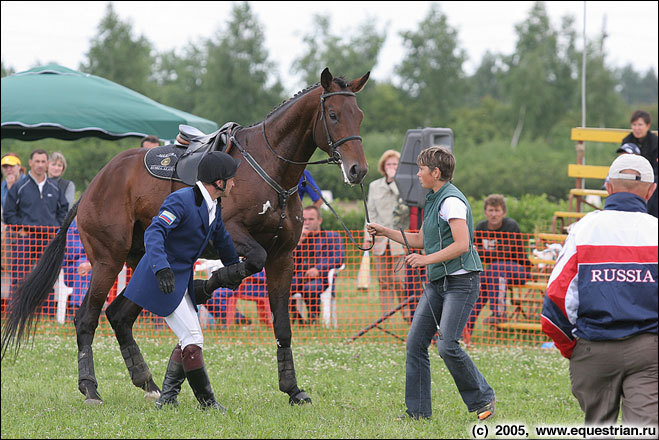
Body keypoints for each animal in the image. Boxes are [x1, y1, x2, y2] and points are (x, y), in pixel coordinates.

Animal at [1, 68, 372, 406]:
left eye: (360, 116)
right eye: (334, 115)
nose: (358, 170)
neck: (269, 168)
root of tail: (92, 186)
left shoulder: (283, 257)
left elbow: (282, 325)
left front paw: (292, 389)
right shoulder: (234, 233)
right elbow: (251, 261)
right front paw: (205, 286)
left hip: (144, 263)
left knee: (119, 315)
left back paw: (149, 383)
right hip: (108, 261)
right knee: (86, 319)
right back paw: (90, 388)